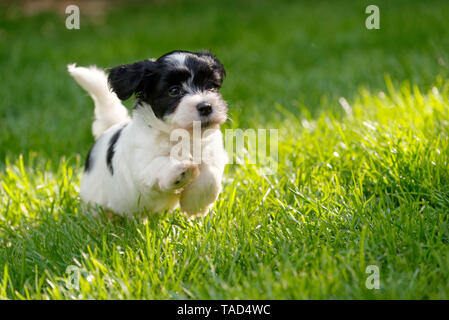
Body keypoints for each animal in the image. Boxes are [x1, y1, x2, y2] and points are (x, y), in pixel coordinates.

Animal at [68, 50, 229, 216]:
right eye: (174, 91)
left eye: (211, 86)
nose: (206, 106)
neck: (182, 135)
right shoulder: (143, 166)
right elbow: (160, 162)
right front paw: (180, 169)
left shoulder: (213, 151)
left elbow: (210, 173)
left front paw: (195, 205)